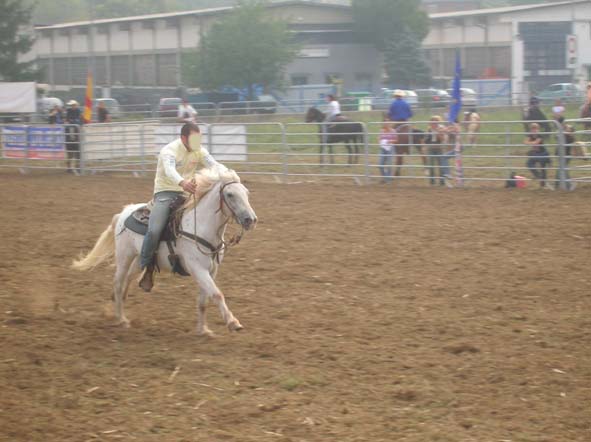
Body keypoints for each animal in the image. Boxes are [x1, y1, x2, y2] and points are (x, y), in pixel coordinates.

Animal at [71, 169, 256, 334]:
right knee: (118, 282)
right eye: (230, 194)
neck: (200, 227)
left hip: (140, 257)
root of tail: (123, 213)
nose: (251, 219)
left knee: (128, 278)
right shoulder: (198, 269)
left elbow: (204, 301)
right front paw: (233, 322)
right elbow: (217, 294)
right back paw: (122, 319)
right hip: (124, 255)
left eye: (246, 193)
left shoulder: (212, 270)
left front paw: (203, 330)